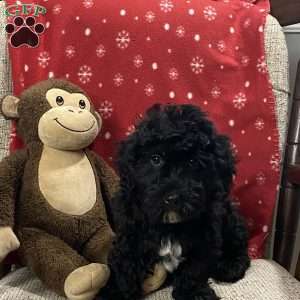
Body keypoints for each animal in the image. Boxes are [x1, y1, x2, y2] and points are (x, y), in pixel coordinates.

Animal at [106, 104, 250, 300]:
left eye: (193, 161)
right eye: (155, 159)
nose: (173, 198)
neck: (170, 226)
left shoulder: (205, 238)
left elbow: (194, 269)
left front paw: (194, 293)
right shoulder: (131, 232)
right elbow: (125, 266)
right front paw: (117, 292)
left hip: (228, 216)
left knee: (238, 239)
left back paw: (231, 264)